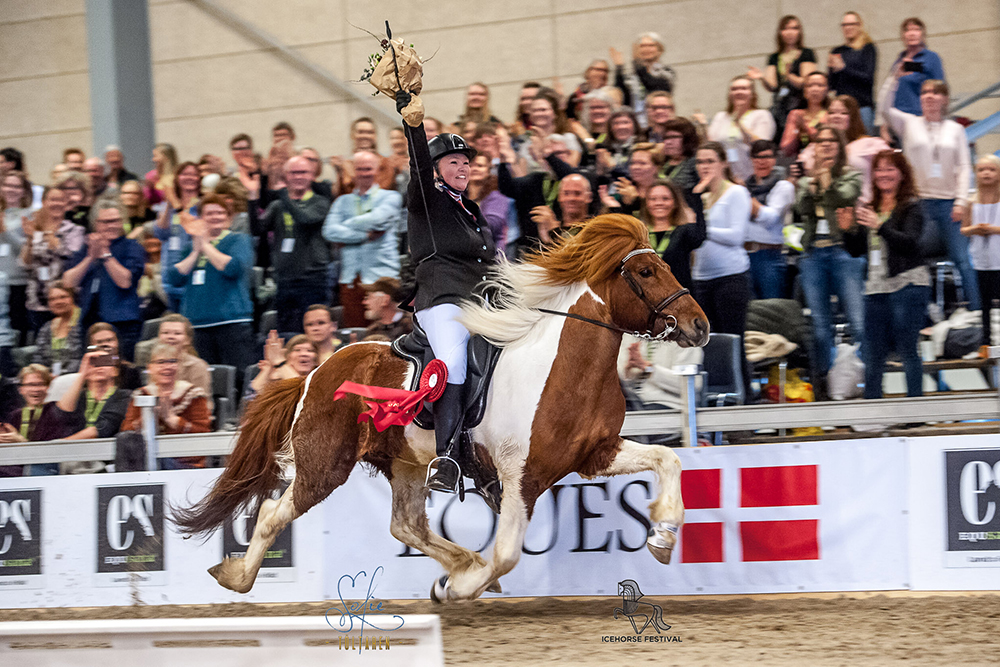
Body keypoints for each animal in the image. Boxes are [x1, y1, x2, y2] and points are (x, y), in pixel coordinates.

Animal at [178, 217, 712, 604]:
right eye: (645, 272)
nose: (699, 326)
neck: (564, 367)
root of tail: (314, 373)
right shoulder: (522, 477)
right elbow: (506, 553)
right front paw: (459, 589)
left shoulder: (595, 454)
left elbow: (670, 459)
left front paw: (663, 536)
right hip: (324, 464)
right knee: (272, 514)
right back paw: (236, 576)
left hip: (408, 463)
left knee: (406, 525)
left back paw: (460, 565)